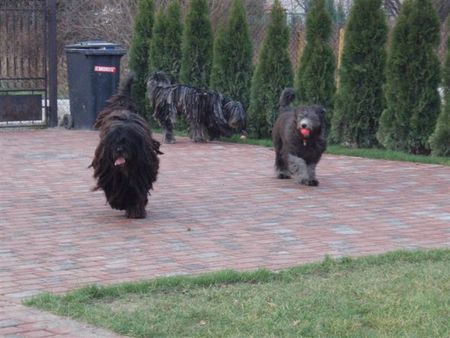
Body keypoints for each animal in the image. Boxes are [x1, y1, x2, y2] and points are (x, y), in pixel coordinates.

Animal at [90, 73, 163, 219]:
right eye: (114, 142)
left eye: (126, 142)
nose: (119, 150)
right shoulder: (109, 172)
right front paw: (120, 203)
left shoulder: (141, 173)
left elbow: (137, 193)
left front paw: (135, 210)